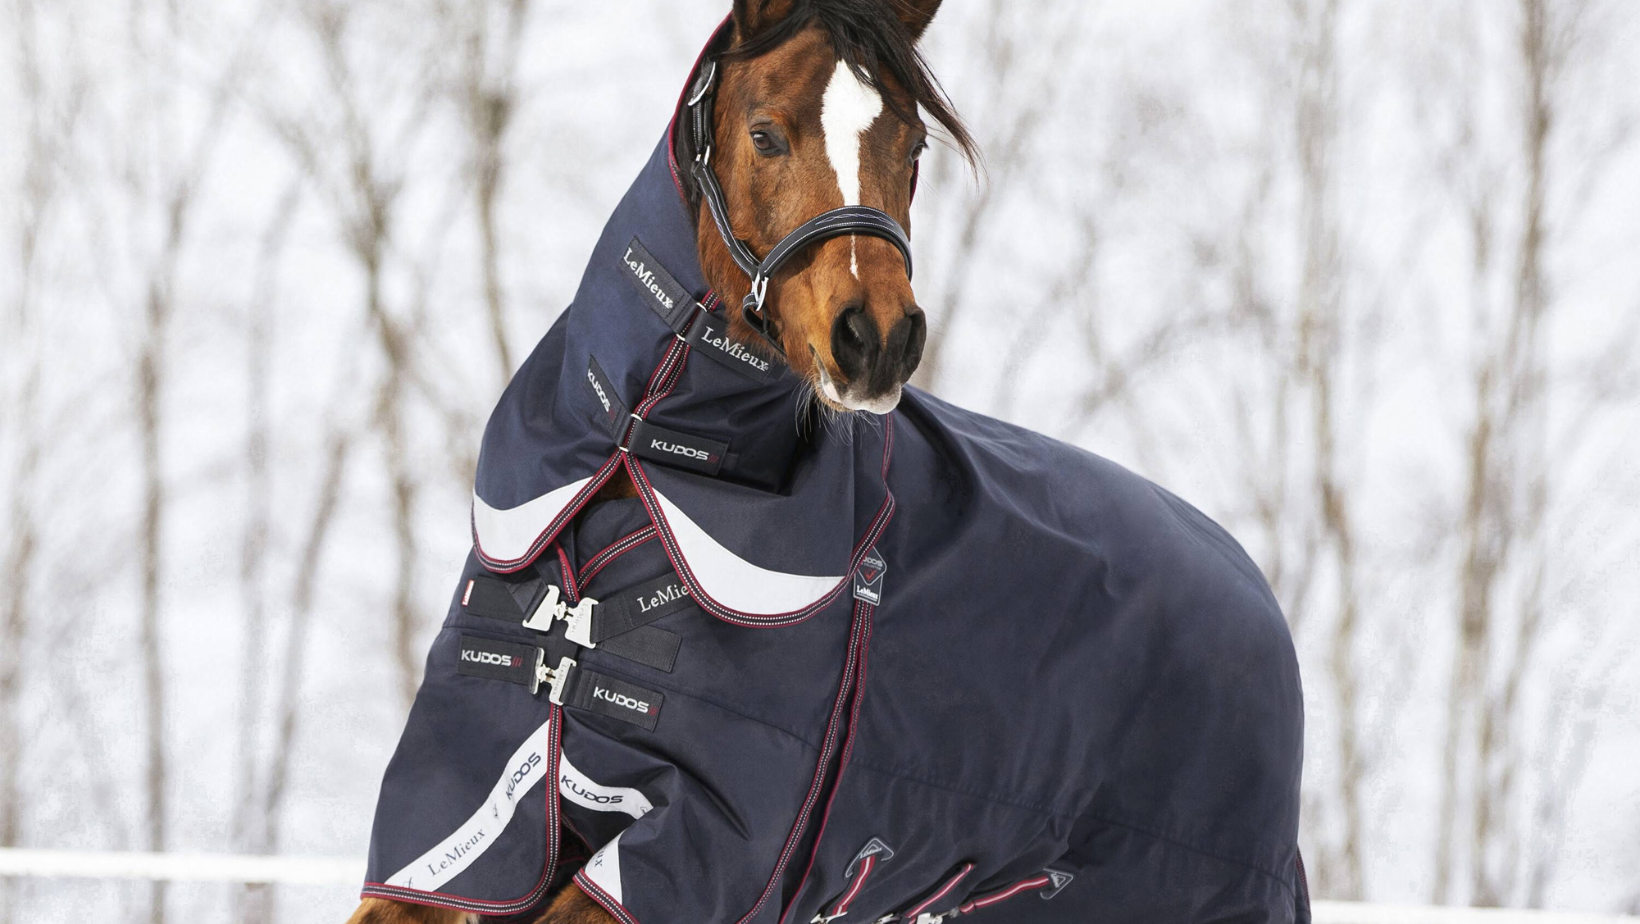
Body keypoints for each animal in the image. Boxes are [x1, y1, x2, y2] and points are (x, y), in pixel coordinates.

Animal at [346, 2, 1308, 923]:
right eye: (766, 132)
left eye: (912, 144)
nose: (876, 337)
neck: (637, 475)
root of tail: (1256, 594)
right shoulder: (464, 812)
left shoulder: (701, 849)